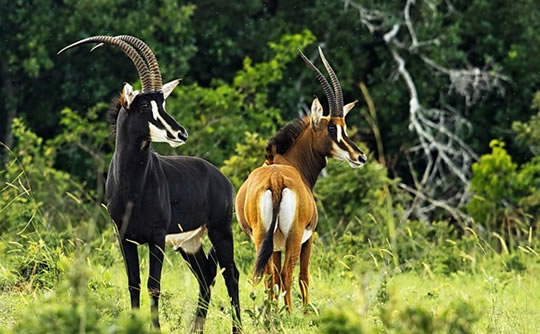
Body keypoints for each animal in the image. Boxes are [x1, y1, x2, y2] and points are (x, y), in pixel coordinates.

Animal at [57, 35, 240, 332]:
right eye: (144, 106)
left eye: (163, 104)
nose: (181, 133)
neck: (132, 187)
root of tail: (220, 177)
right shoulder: (125, 239)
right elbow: (134, 284)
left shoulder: (156, 238)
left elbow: (154, 285)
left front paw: (155, 326)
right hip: (189, 243)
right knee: (206, 274)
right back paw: (196, 328)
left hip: (220, 230)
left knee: (231, 273)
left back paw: (238, 327)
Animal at [236, 47, 368, 310]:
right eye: (332, 128)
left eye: (345, 126)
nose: (360, 156)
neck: (286, 162)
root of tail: (276, 181)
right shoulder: (309, 237)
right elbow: (304, 277)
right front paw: (307, 313)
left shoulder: (274, 243)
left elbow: (275, 277)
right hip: (295, 237)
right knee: (288, 274)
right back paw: (289, 313)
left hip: (261, 238)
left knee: (270, 276)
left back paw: (271, 313)